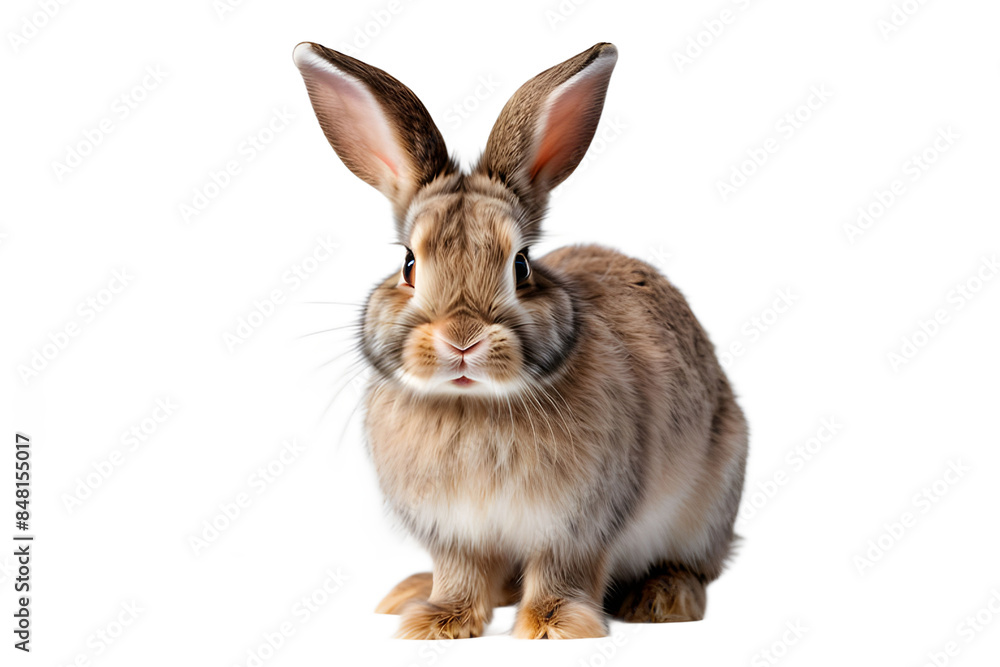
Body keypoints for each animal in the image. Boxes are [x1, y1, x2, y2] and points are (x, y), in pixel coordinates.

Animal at [293, 40, 748, 640]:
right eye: (409, 265)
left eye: (522, 265)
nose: (462, 340)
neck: (473, 405)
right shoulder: (454, 533)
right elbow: (460, 574)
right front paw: (438, 621)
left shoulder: (578, 525)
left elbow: (562, 571)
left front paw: (555, 627)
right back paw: (411, 592)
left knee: (695, 566)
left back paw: (662, 600)